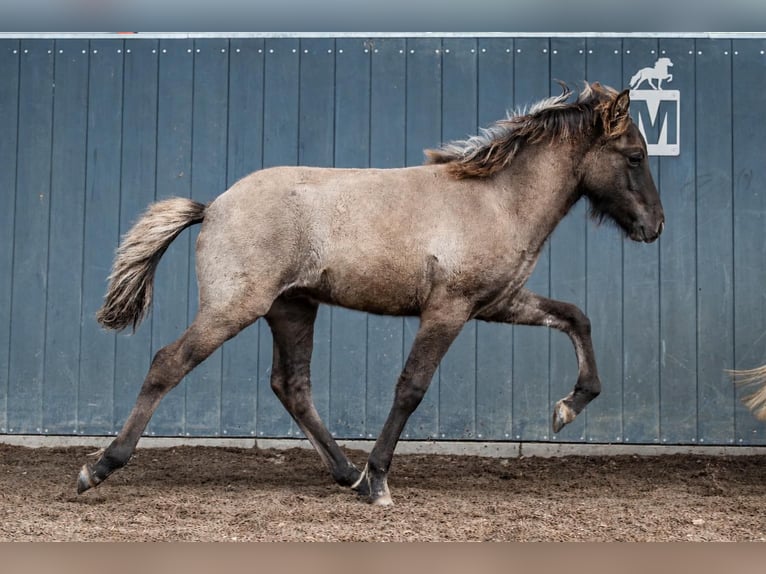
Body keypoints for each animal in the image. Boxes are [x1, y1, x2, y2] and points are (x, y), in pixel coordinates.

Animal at [76, 82, 665, 506]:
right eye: (635, 155)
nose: (654, 227)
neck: (496, 199)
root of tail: (213, 206)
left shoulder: (497, 304)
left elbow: (575, 317)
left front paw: (568, 407)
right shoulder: (448, 309)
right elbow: (411, 388)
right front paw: (379, 481)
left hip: (293, 309)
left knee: (292, 386)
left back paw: (344, 473)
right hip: (234, 307)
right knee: (168, 362)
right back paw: (98, 467)